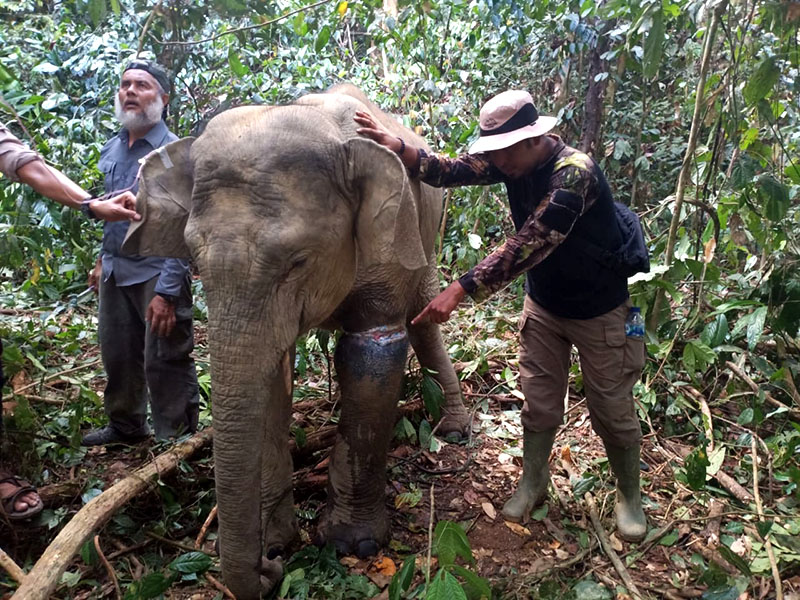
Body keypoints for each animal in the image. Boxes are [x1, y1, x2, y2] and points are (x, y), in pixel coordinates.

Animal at [122, 85, 472, 600]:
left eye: (298, 261)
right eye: (195, 262)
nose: (268, 567)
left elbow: (372, 350)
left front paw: (353, 543)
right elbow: (272, 372)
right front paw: (280, 539)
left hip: (427, 225)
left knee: (424, 313)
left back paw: (454, 430)